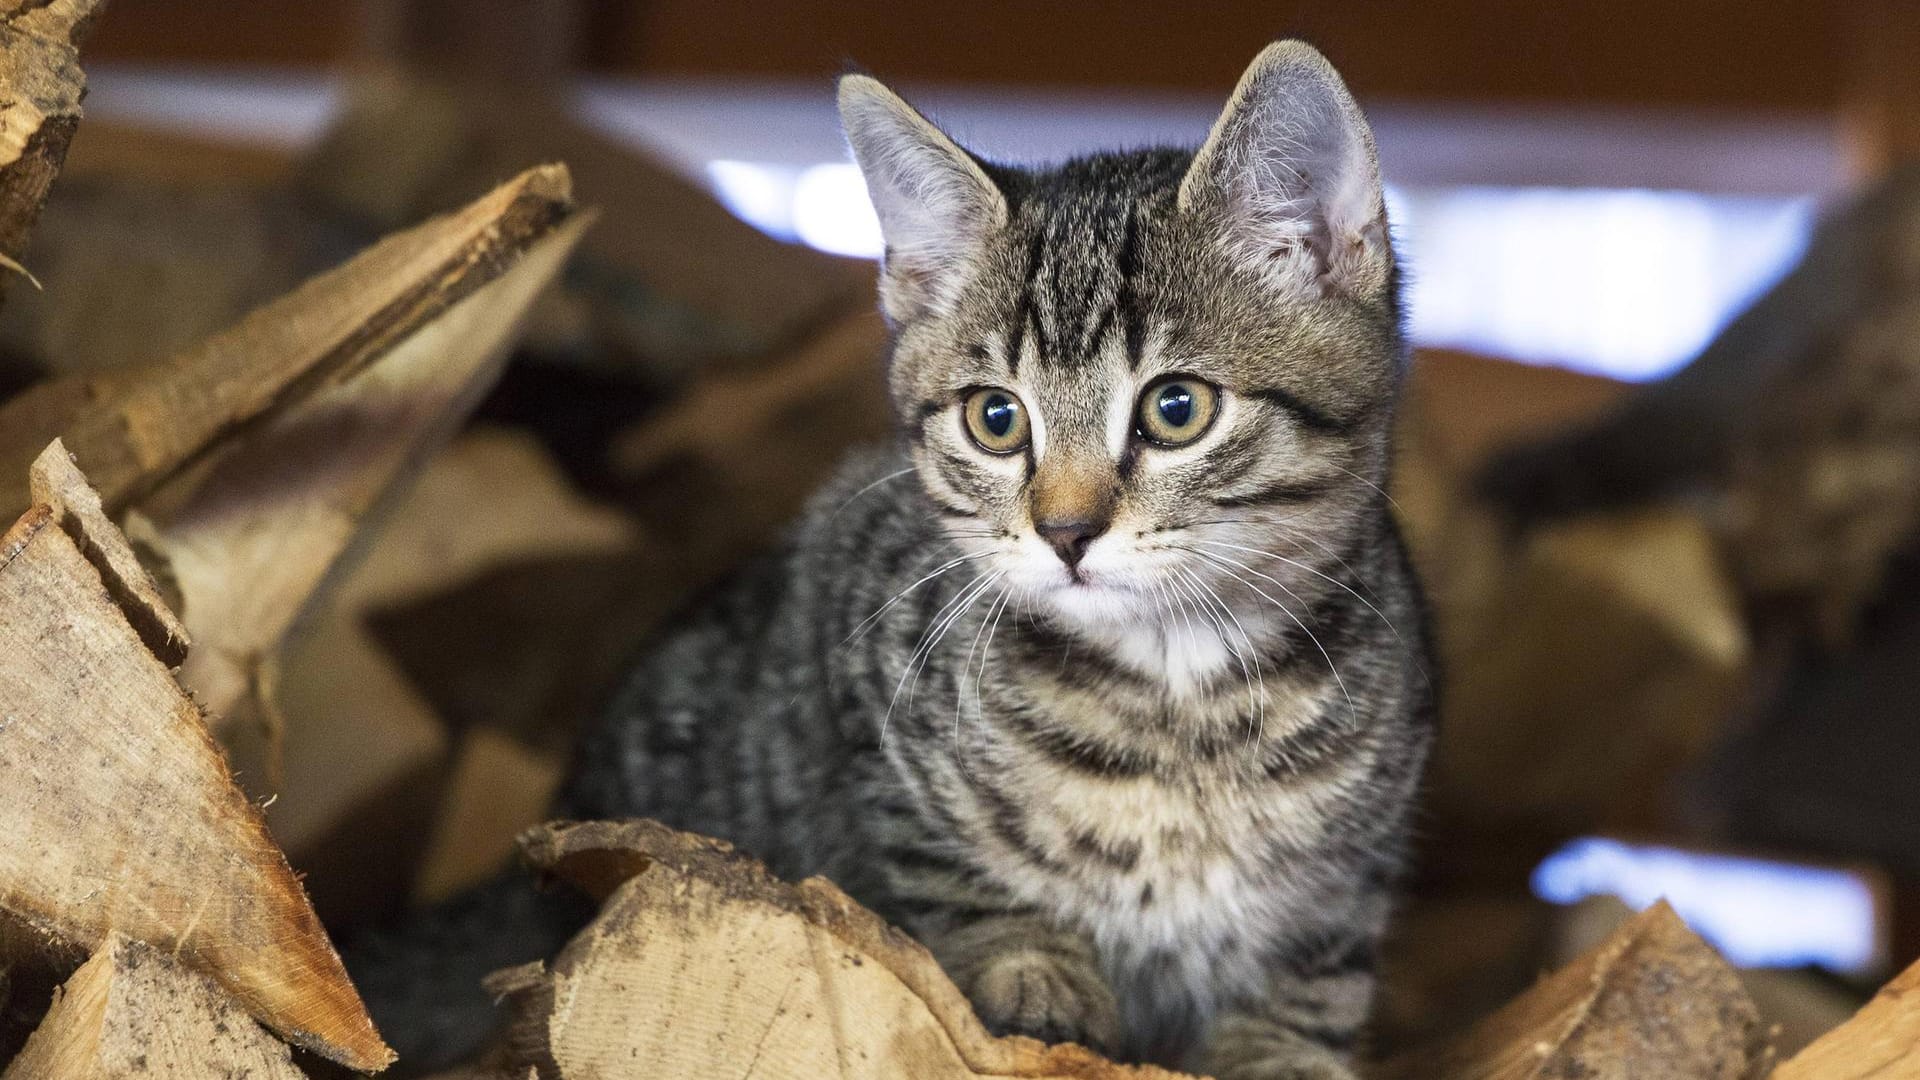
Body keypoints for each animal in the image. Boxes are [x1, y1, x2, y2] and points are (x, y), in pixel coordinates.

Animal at [556, 39, 1428, 1076]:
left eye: (1177, 408)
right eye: (996, 419)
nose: (1065, 530)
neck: (1182, 703)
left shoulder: (1363, 856)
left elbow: (1317, 965)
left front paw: (1282, 1048)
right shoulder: (857, 672)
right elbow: (952, 870)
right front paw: (1033, 973)